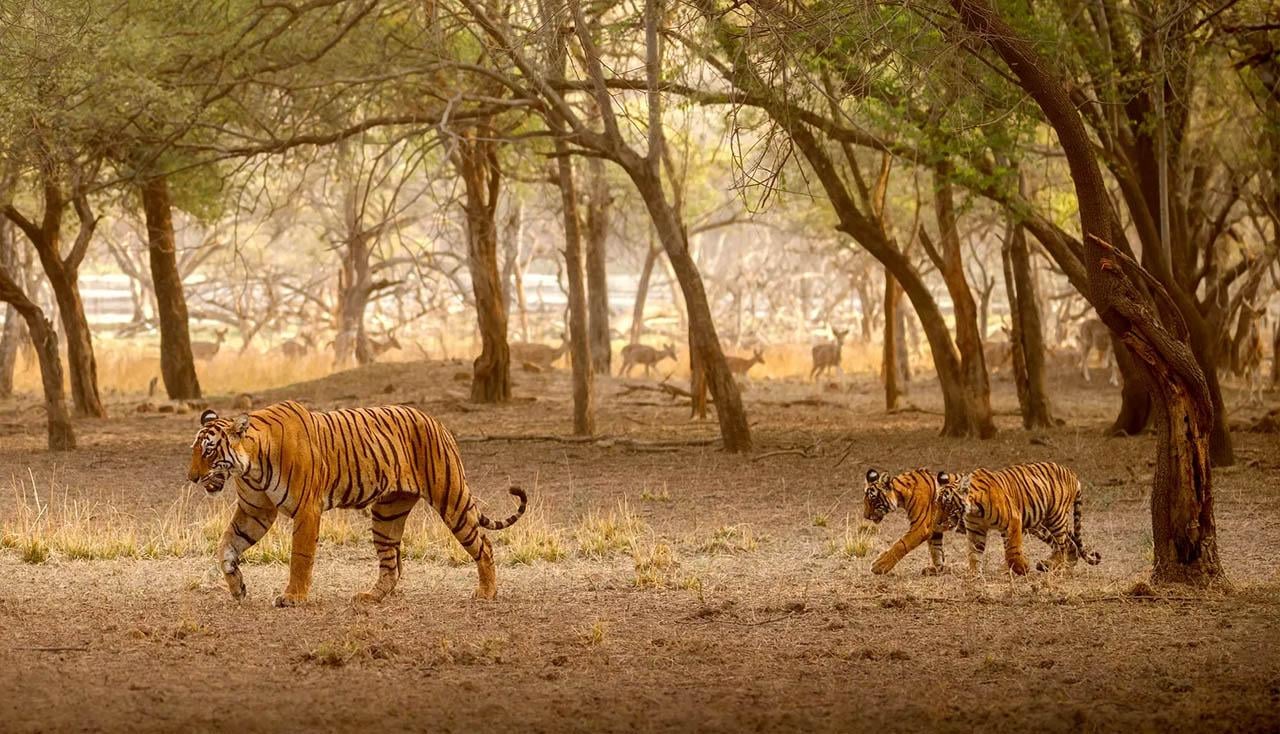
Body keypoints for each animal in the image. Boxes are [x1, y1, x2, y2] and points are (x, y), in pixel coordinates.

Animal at [187, 400, 527, 607]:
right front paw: (237, 588)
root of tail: (436, 421)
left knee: (484, 545)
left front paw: (293, 597)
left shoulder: (306, 510)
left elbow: (300, 557)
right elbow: (226, 546)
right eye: (194, 450)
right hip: (387, 513)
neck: (250, 466)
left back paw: (486, 592)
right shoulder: (255, 512)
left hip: (451, 498)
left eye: (209, 451)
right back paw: (370, 596)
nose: (191, 477)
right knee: (391, 564)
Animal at [935, 462, 1101, 575]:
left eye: (947, 504)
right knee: (1069, 543)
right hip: (1041, 525)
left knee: (1062, 545)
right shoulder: (976, 530)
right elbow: (974, 553)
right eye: (936, 503)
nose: (936, 522)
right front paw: (974, 574)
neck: (974, 510)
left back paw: (1054, 567)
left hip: (1056, 518)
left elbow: (1011, 550)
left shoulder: (1012, 521)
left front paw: (1022, 568)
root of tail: (1072, 473)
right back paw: (1061, 567)